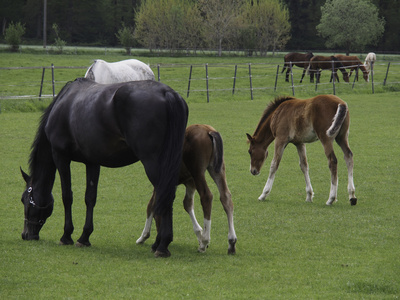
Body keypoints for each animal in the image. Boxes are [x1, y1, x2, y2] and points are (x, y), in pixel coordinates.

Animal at [18, 78, 188, 258]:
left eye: (24, 199)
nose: (25, 235)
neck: (63, 104)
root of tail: (167, 93)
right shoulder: (92, 162)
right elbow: (90, 198)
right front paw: (84, 237)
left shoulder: (61, 157)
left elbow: (67, 196)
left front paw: (66, 235)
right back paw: (158, 243)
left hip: (153, 163)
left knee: (165, 196)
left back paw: (162, 245)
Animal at [138, 123, 238, 253]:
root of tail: (208, 130)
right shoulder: (190, 182)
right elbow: (187, 204)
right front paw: (199, 234)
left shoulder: (160, 182)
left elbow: (151, 206)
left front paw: (144, 237)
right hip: (217, 169)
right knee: (226, 197)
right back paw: (231, 241)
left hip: (198, 171)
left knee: (207, 196)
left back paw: (204, 242)